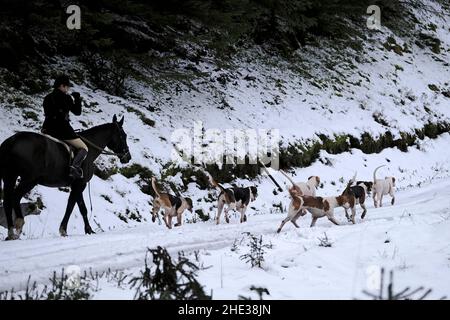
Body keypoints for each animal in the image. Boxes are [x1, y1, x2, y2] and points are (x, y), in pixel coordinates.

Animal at [0, 115, 130, 240]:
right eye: (123, 135)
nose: (128, 157)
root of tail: (12, 141)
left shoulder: (76, 185)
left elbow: (81, 208)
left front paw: (88, 230)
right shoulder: (80, 185)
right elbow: (72, 207)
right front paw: (66, 230)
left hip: (9, 177)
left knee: (7, 201)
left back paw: (10, 233)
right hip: (29, 180)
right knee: (15, 197)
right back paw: (19, 224)